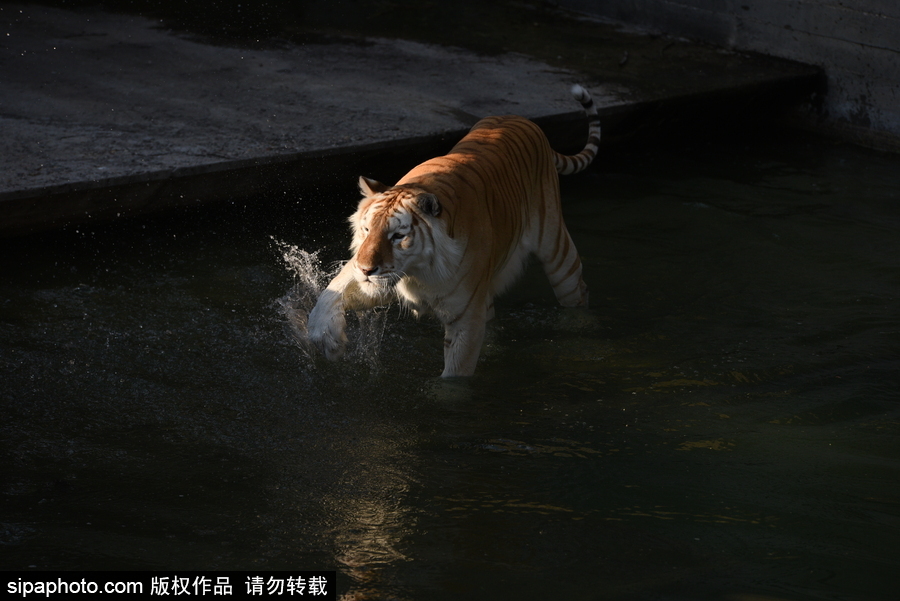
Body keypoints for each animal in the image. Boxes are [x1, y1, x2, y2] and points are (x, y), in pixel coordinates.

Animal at [307, 84, 600, 377]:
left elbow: (455, 377)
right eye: (366, 230)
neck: (416, 272)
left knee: (578, 293)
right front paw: (326, 338)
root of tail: (520, 118)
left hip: (557, 251)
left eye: (398, 236)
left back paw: (580, 331)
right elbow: (333, 290)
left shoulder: (466, 318)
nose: (367, 269)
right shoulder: (378, 278)